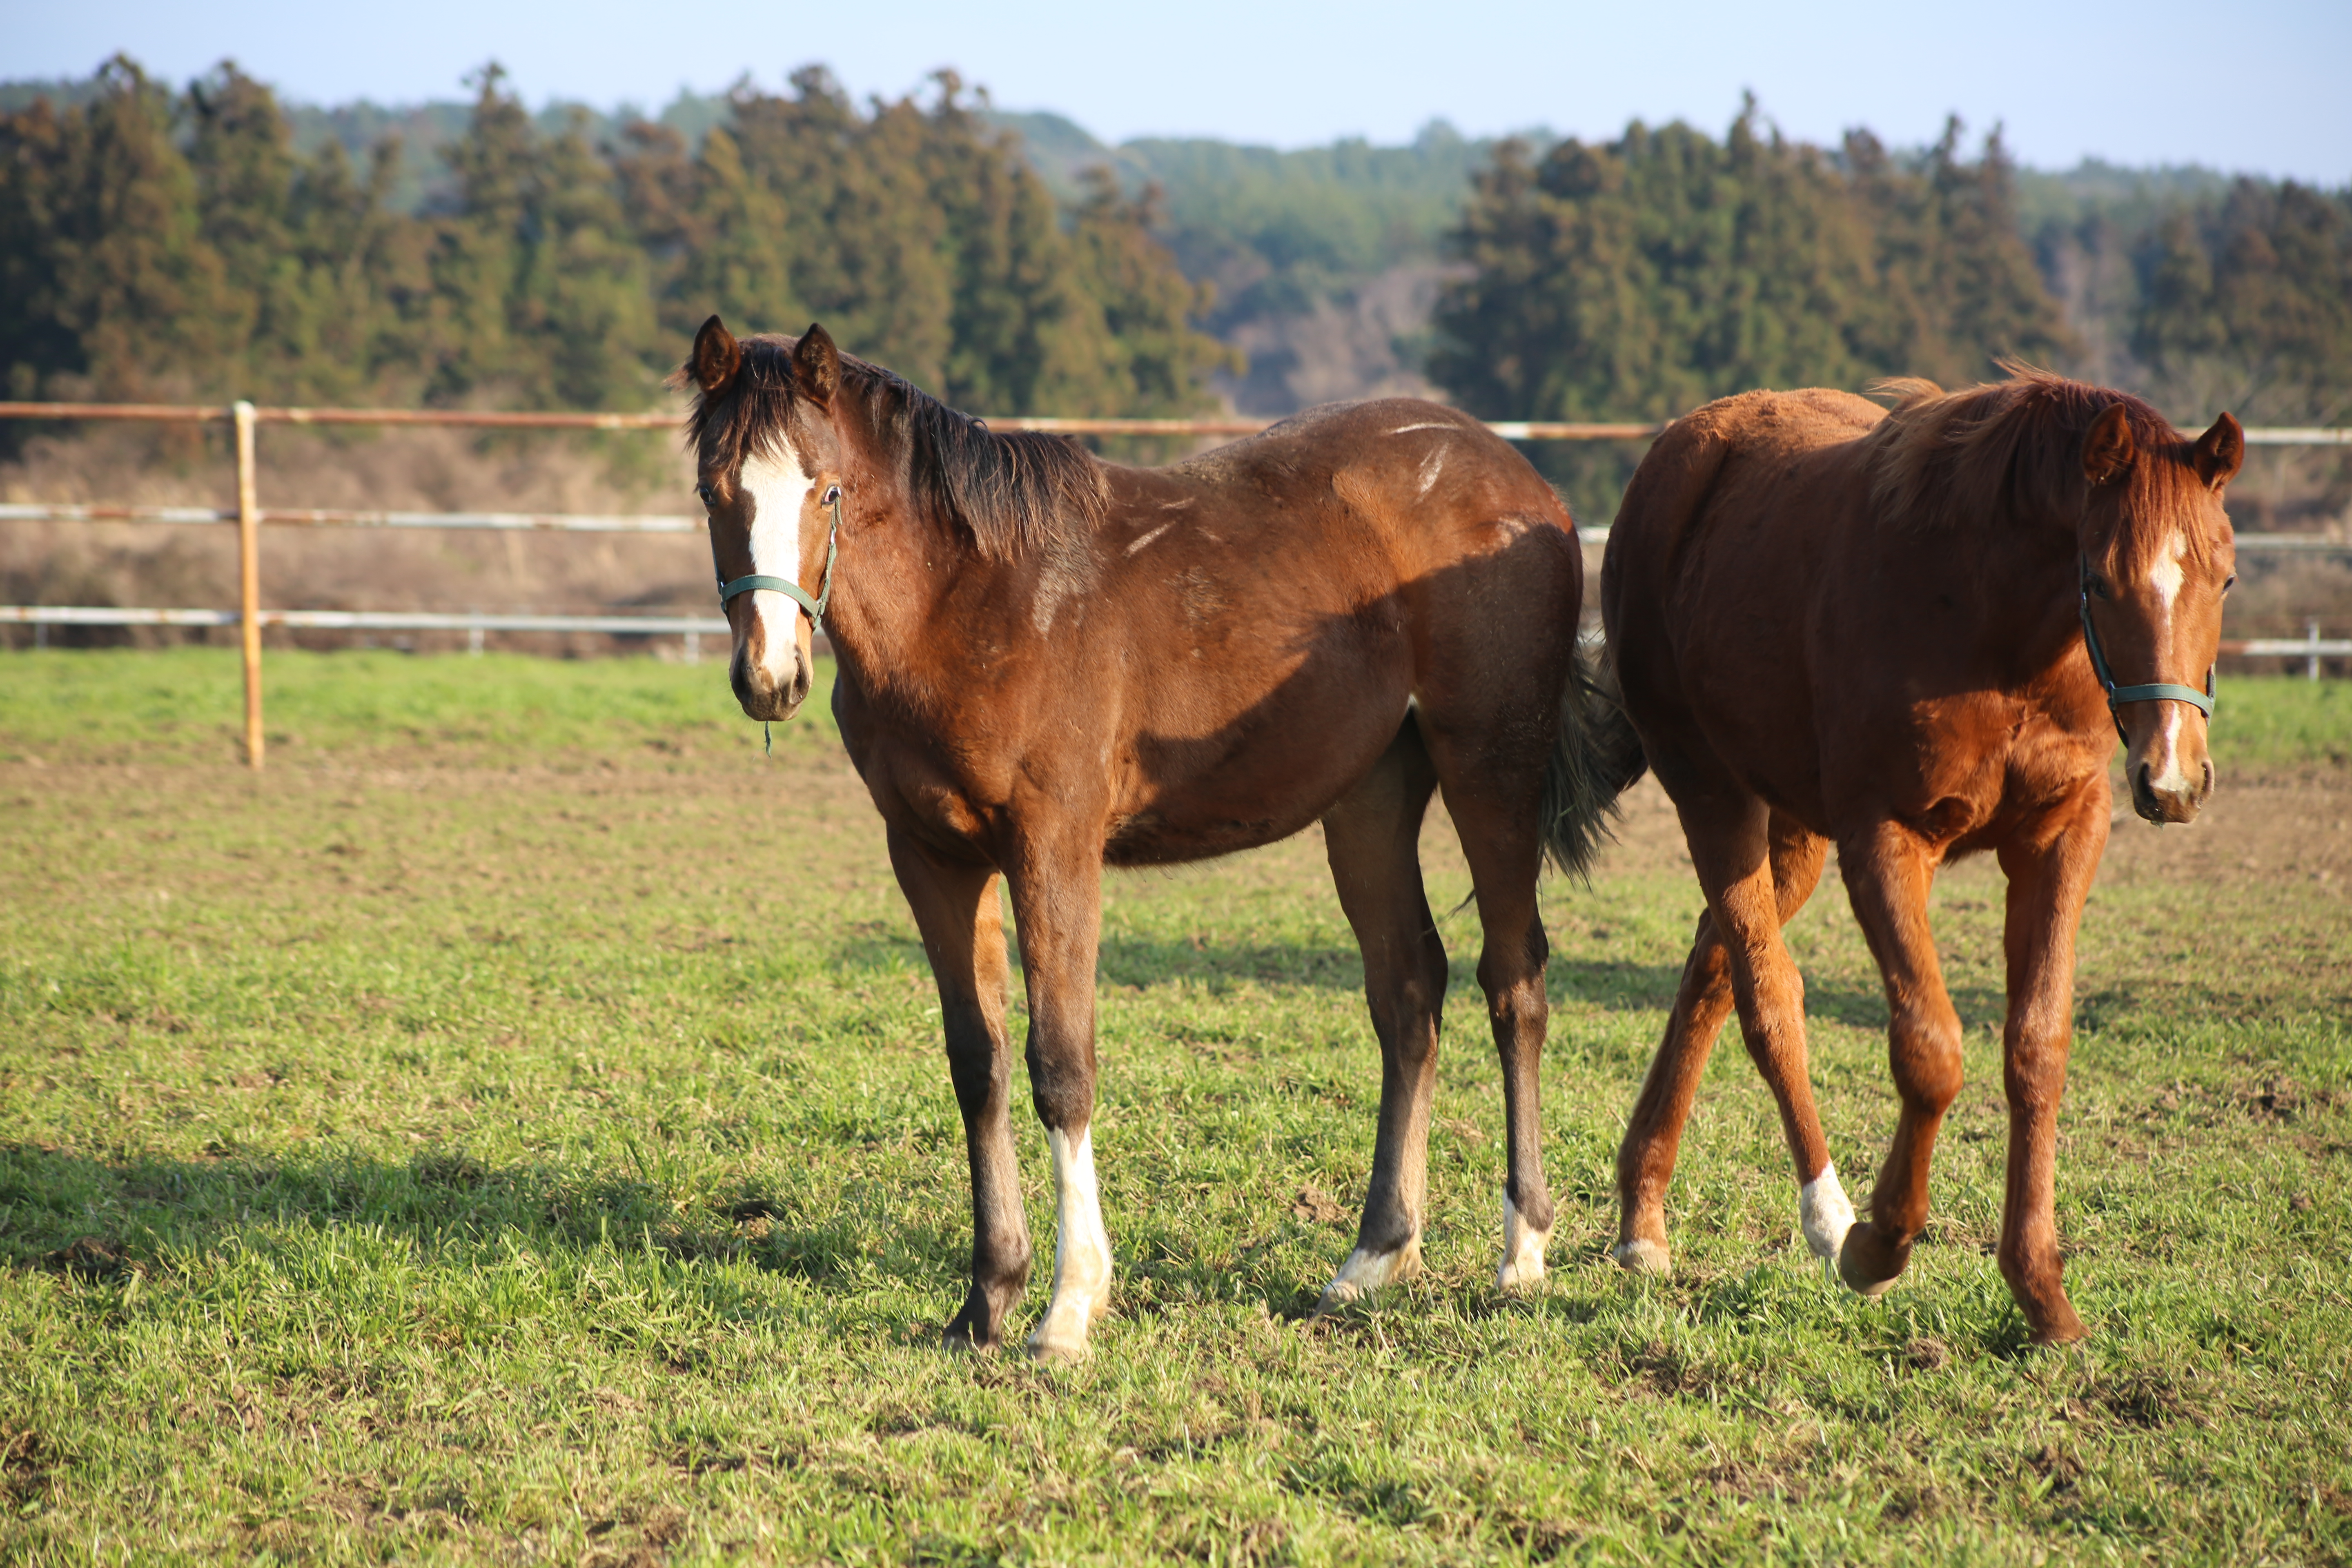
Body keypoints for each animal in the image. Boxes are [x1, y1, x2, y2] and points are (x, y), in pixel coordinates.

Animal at [677, 319, 1637, 1363]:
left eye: (828, 490)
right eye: (712, 490)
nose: (768, 678)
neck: (972, 602)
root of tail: (1523, 481)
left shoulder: (1052, 848)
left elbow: (1061, 1066)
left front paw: (1067, 1308)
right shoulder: (932, 858)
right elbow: (977, 1064)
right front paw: (988, 1298)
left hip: (1490, 772)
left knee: (1513, 983)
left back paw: (1522, 1251)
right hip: (1372, 797)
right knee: (1408, 995)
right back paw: (1372, 1258)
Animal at [1599, 369, 2239, 1354]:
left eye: (2225, 576)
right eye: (2099, 577)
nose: (2172, 778)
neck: (1995, 632)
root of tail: (1688, 446)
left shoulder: (2063, 837)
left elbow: (2037, 1047)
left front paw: (2041, 1290)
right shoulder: (1886, 839)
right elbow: (1930, 1048)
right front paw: (1880, 1244)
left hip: (1793, 832)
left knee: (1712, 967)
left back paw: (1643, 1213)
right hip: (1714, 796)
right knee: (1767, 995)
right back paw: (1824, 1217)